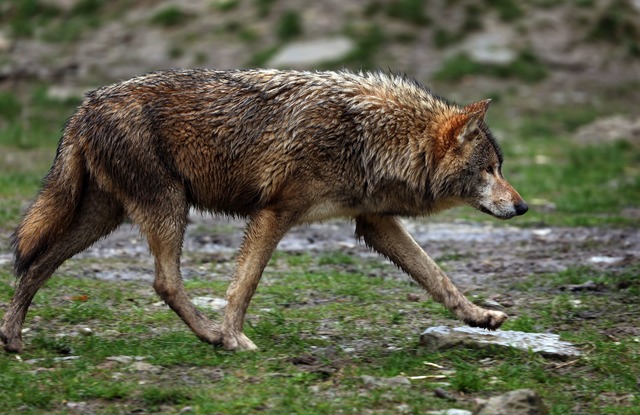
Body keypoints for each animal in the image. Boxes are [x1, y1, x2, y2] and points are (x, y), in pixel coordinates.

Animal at [0, 69, 528, 354]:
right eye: (490, 169)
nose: (523, 206)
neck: (371, 137)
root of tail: (83, 106)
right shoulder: (274, 213)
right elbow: (244, 286)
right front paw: (234, 338)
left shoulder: (374, 223)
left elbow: (438, 276)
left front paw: (480, 317)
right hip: (167, 208)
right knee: (164, 282)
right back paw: (212, 336)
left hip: (105, 217)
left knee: (36, 264)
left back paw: (13, 339)